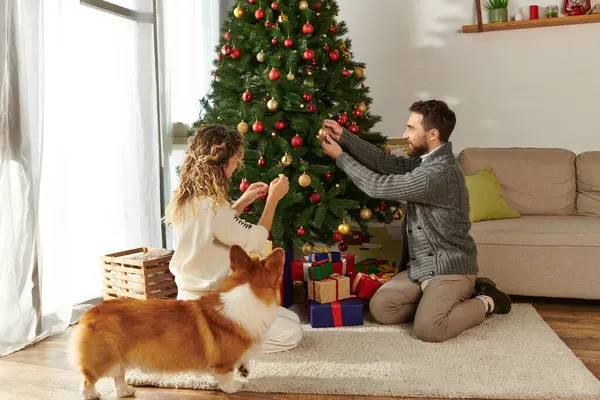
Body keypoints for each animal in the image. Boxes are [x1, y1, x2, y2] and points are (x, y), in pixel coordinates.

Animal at [70, 245, 286, 398]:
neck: (248, 294)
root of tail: (91, 311)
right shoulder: (223, 364)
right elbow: (226, 378)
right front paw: (234, 387)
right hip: (104, 359)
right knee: (87, 379)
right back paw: (92, 395)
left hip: (119, 358)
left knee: (118, 376)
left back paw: (126, 391)